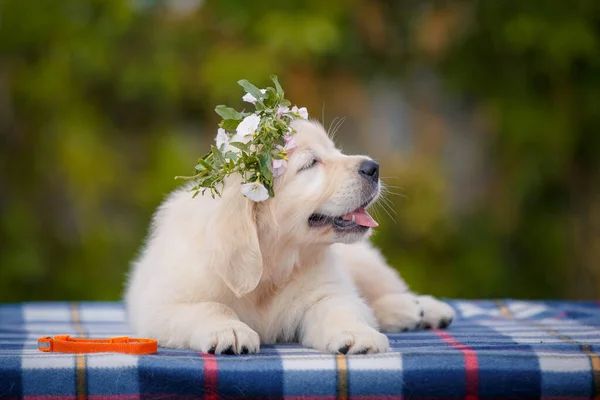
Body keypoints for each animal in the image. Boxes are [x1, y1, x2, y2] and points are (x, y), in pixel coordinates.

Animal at [126, 119, 454, 354]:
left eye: (335, 149)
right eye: (310, 164)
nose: (373, 167)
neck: (273, 263)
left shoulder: (326, 290)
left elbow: (340, 307)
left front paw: (357, 334)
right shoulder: (161, 306)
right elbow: (211, 306)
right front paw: (229, 330)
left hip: (365, 262)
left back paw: (423, 308)